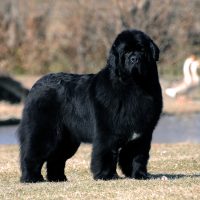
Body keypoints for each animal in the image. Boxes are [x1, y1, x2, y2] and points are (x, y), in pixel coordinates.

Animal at [18, 28, 162, 182]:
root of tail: (36, 84)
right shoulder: (107, 132)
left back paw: (58, 178)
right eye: (126, 52)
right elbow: (106, 152)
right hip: (44, 131)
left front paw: (139, 175)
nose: (134, 59)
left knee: (56, 158)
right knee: (32, 154)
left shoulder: (142, 134)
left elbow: (137, 156)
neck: (134, 86)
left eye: (142, 50)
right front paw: (106, 175)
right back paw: (31, 178)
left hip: (67, 140)